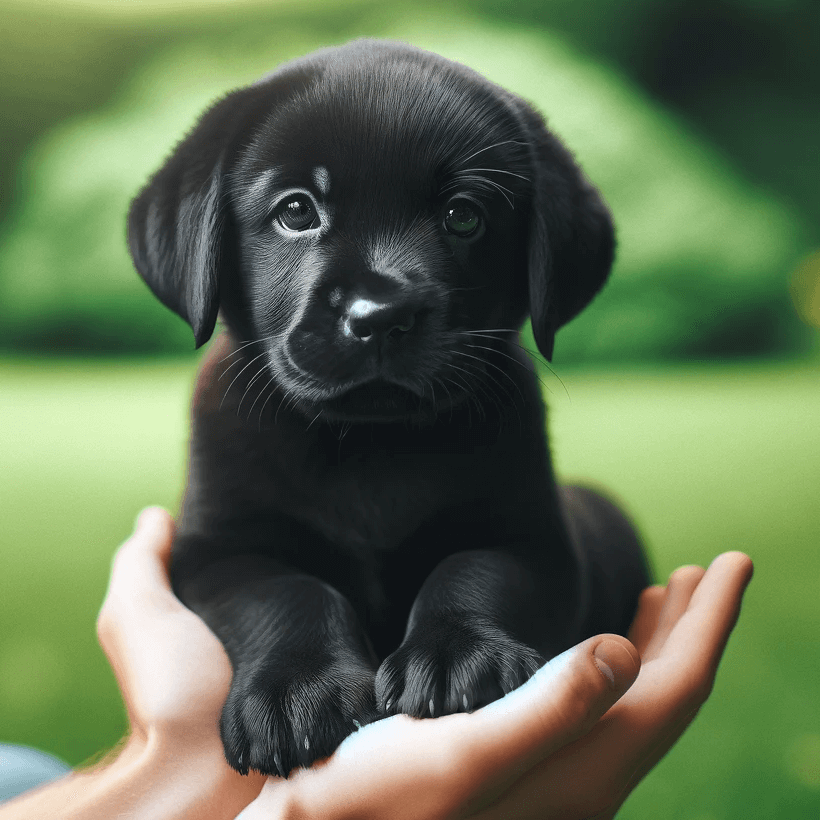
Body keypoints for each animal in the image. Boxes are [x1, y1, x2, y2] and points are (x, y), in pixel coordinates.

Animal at [128, 40, 652, 780]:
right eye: (297, 211)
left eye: (464, 215)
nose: (380, 316)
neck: (371, 446)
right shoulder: (219, 553)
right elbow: (287, 592)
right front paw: (297, 689)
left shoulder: (537, 540)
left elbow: (474, 570)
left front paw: (459, 652)